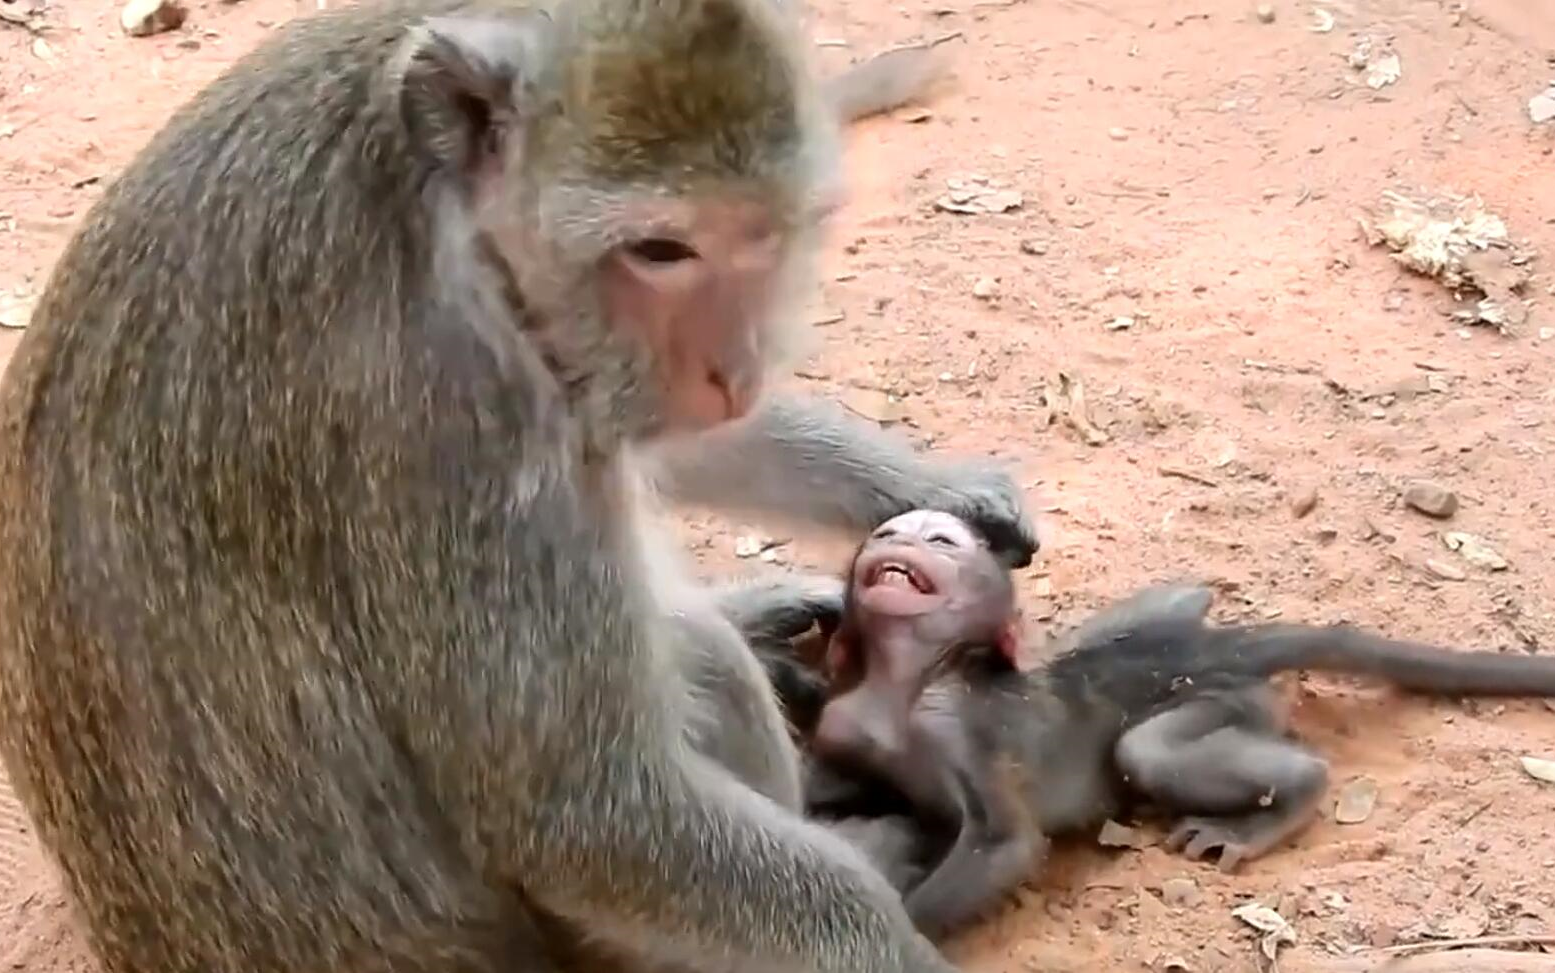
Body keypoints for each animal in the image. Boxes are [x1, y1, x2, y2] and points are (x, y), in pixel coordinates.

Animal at [0, 5, 1032, 969]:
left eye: (765, 238)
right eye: (659, 251)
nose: (733, 370)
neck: (444, 212)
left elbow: (658, 435)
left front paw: (922, 484)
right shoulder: (444, 407)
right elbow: (579, 818)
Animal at [808, 512, 1555, 938]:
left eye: (940, 541)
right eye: (886, 534)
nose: (898, 542)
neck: (901, 680)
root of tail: (1208, 648)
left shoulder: (956, 724)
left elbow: (1006, 842)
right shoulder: (842, 719)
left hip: (1226, 699)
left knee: (1147, 749)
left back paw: (1274, 808)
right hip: (1177, 617)